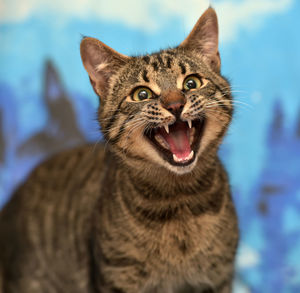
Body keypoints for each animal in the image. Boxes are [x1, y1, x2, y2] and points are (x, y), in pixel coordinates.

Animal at [0, 7, 239, 292]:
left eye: (191, 83)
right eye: (142, 94)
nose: (175, 104)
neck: (178, 201)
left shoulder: (218, 277)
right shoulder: (117, 277)